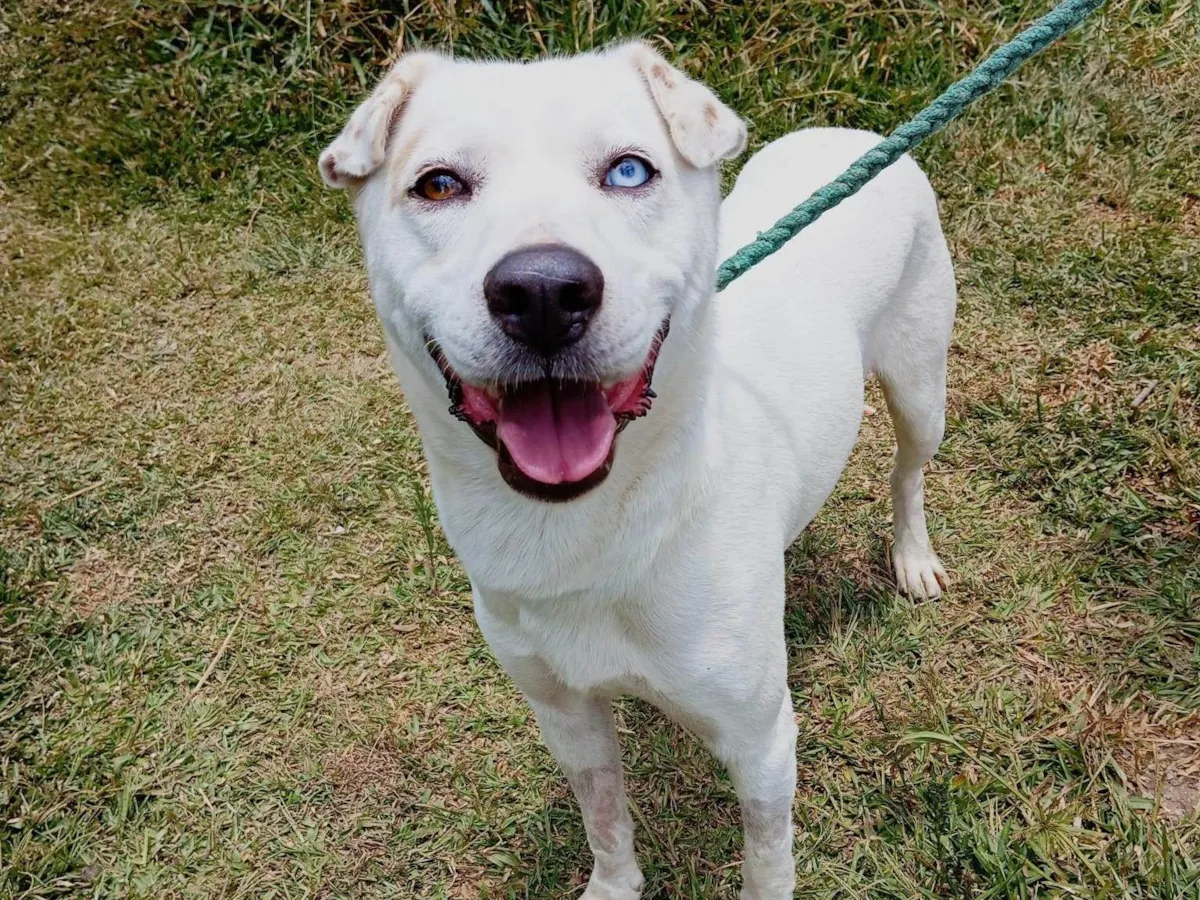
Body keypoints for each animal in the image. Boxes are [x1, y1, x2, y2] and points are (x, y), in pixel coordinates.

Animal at [319, 40, 954, 900]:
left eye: (629, 171)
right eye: (438, 184)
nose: (543, 291)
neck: (578, 529)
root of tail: (857, 134)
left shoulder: (762, 738)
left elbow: (766, 857)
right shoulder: (564, 712)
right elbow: (605, 816)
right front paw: (614, 885)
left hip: (921, 387)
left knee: (907, 472)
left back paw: (913, 558)